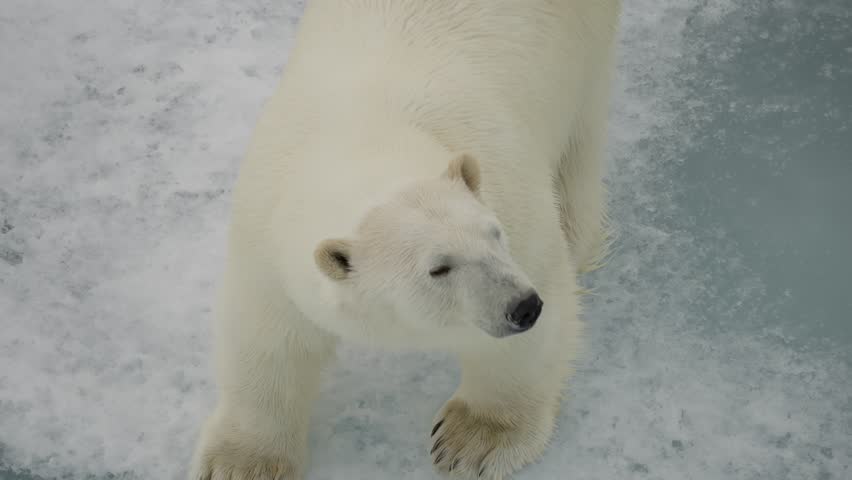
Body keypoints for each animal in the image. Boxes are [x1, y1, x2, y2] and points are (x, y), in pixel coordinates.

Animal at [188, 1, 621, 479]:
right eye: (439, 268)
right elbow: (267, 340)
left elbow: (532, 327)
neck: (364, 136)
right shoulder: (267, 234)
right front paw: (239, 464)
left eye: (495, 234)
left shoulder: (511, 192)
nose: (522, 306)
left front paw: (472, 440)